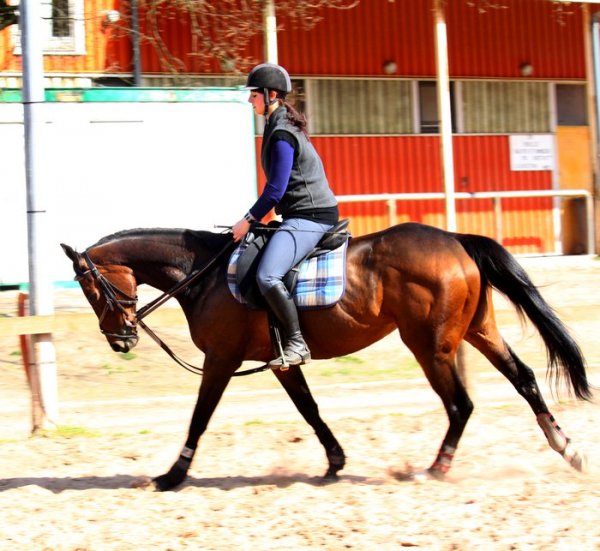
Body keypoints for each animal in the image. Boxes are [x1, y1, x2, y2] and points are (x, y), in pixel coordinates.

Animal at [61, 223, 592, 492]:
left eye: (91, 289)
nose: (120, 341)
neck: (203, 273)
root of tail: (456, 240)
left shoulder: (222, 360)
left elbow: (199, 417)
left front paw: (173, 475)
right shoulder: (282, 361)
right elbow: (310, 410)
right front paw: (334, 461)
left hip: (430, 345)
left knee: (460, 404)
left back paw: (435, 469)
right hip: (478, 331)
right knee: (524, 379)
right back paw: (567, 448)